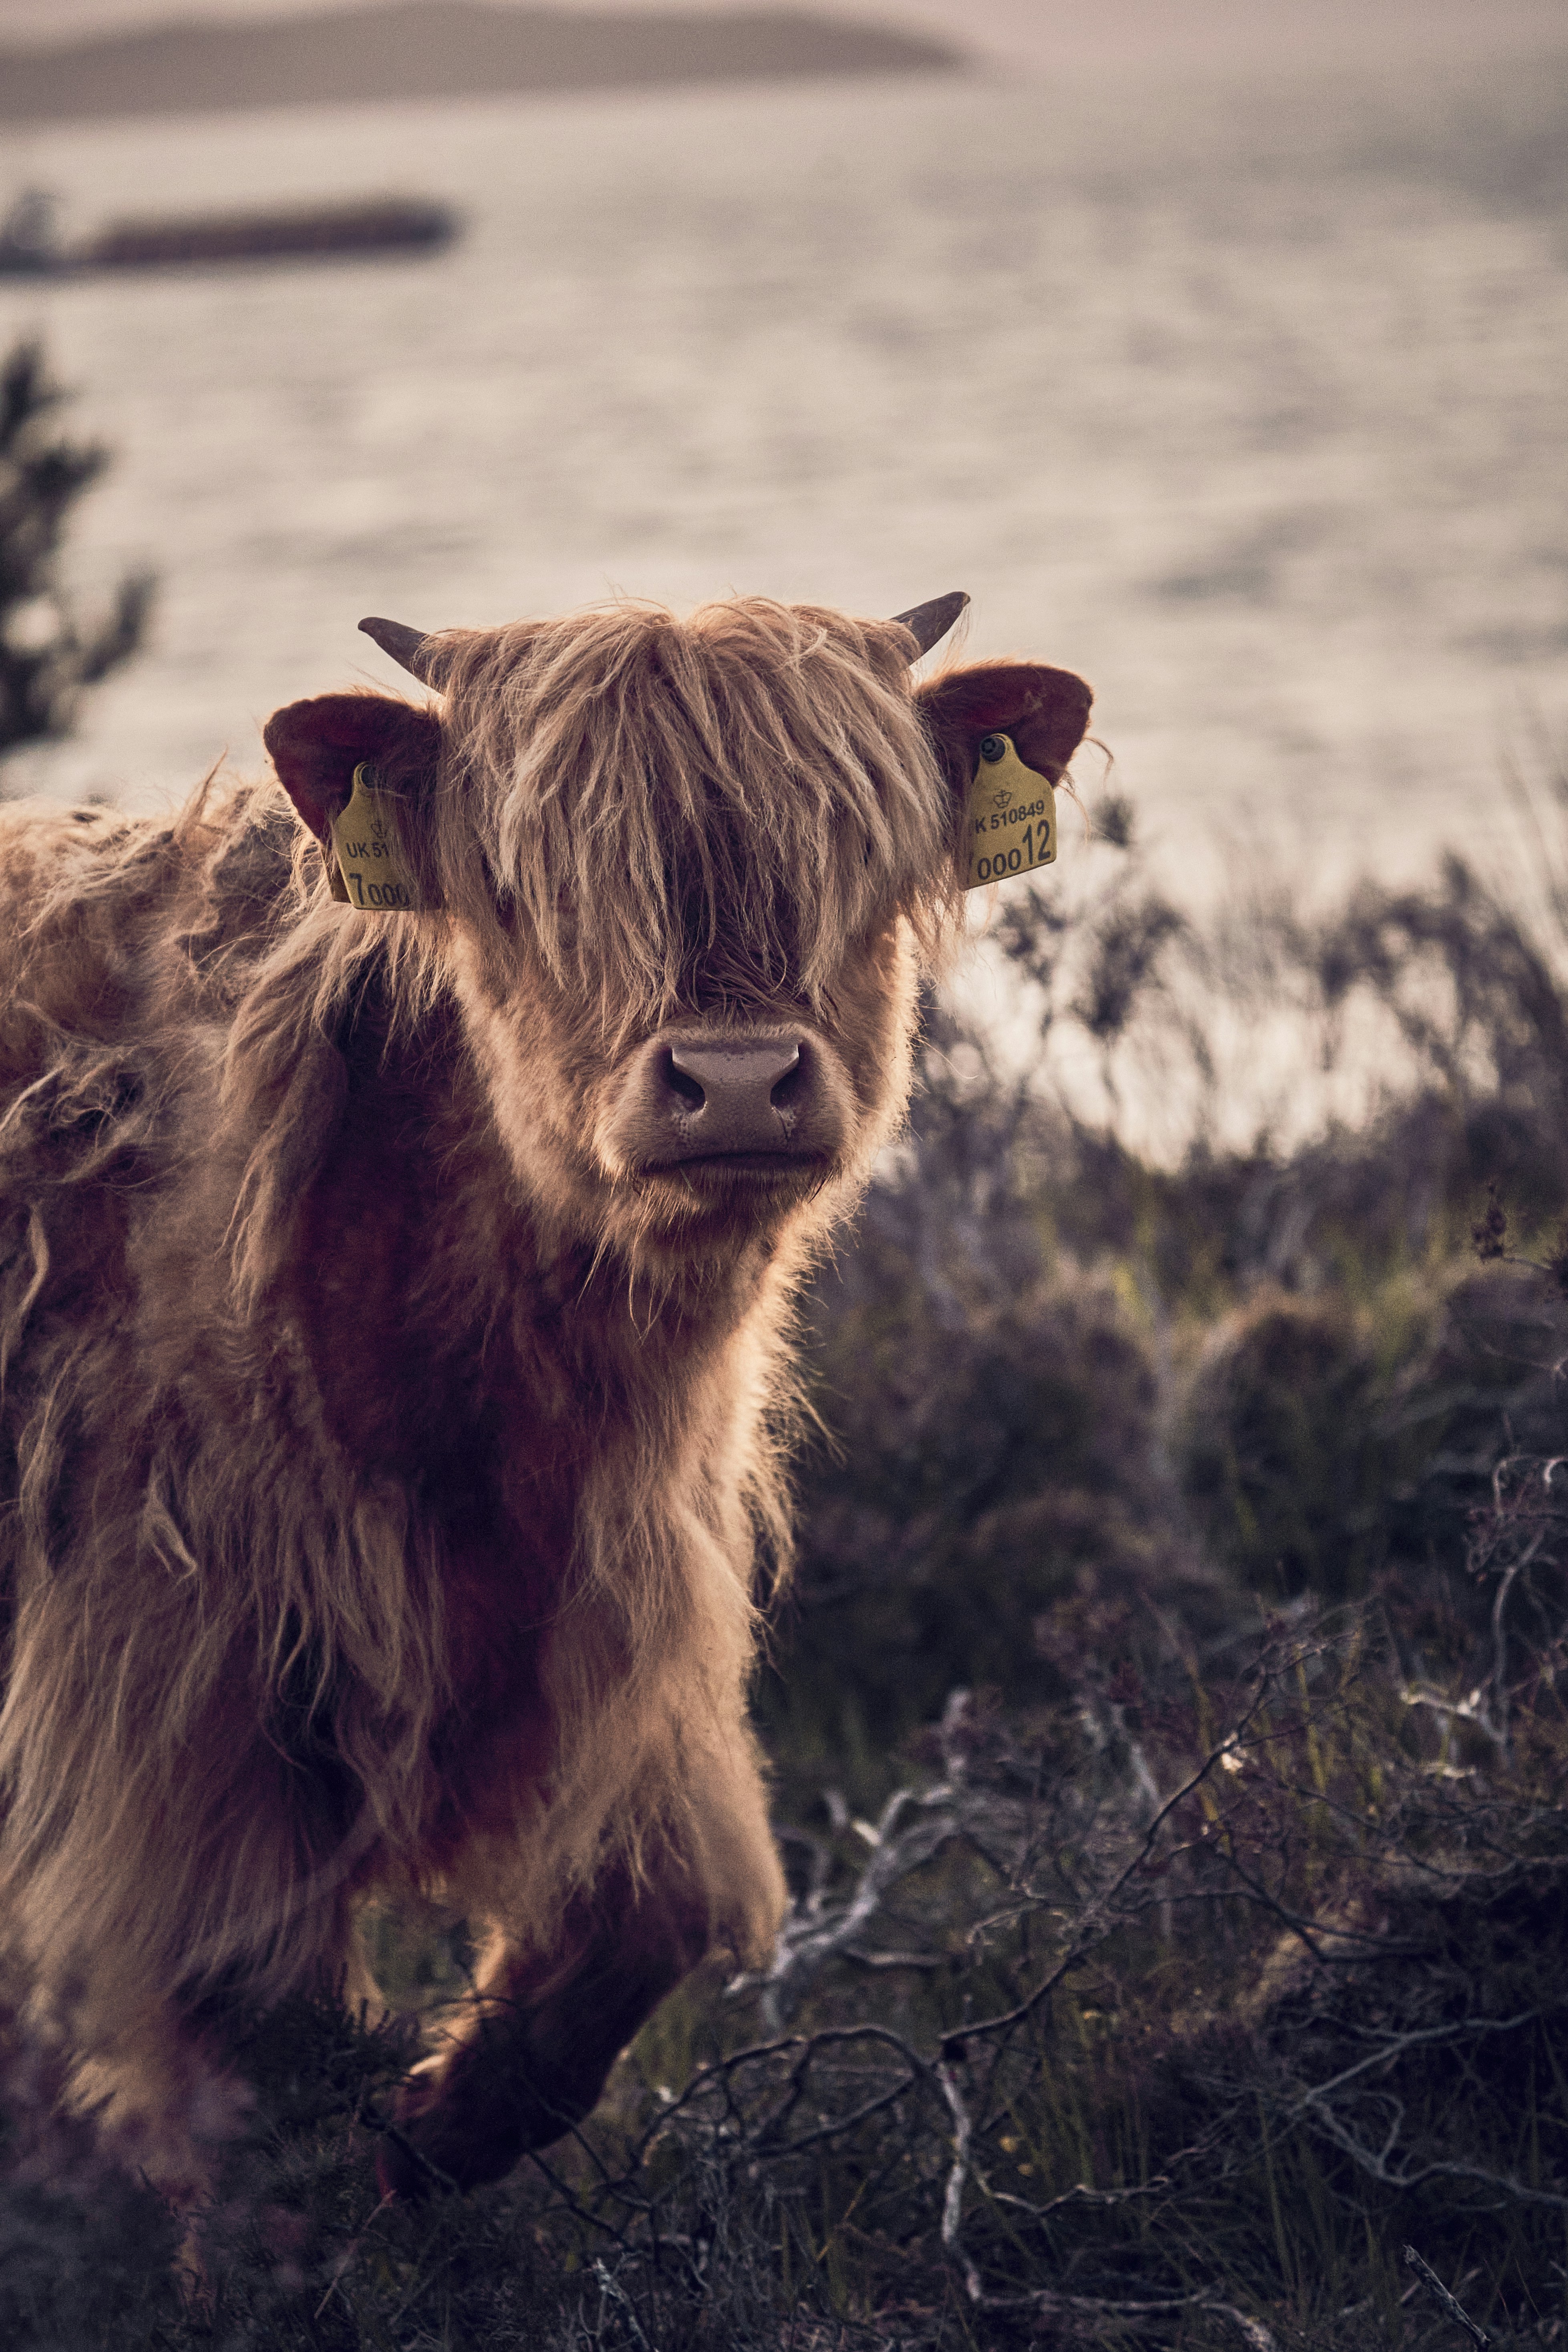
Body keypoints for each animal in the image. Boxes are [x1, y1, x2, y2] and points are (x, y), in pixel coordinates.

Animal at [0, 592, 1091, 2203]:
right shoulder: (180, 1709)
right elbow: (266, 2069)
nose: (736, 1081)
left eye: (860, 858)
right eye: (527, 889)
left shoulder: (633, 1641)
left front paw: (424, 2131)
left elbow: (624, 1946)